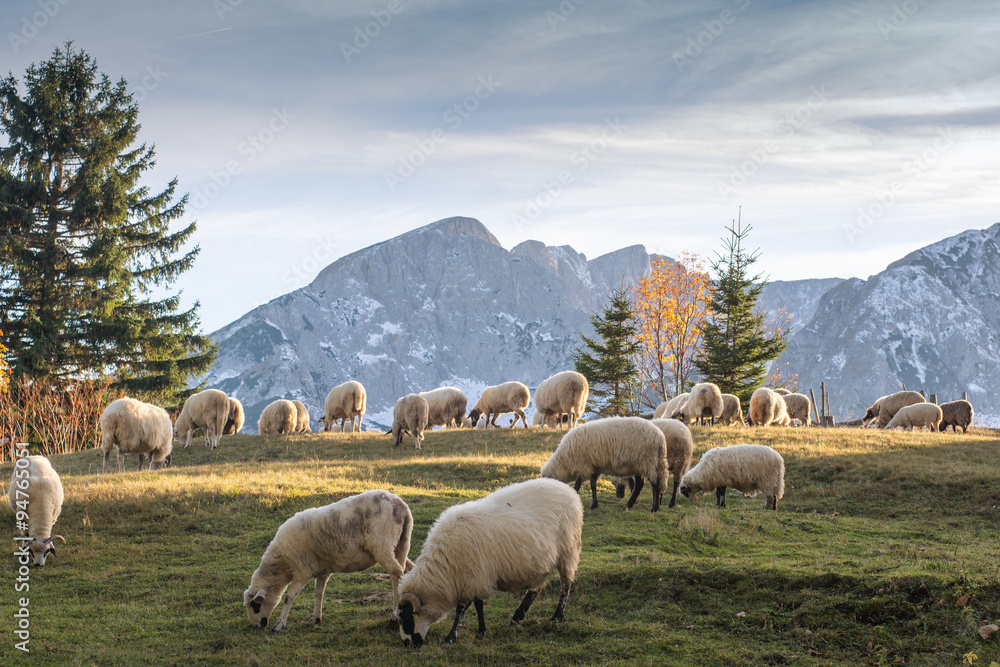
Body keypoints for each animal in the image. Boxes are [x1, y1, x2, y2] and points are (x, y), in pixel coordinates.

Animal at [244, 490, 414, 634]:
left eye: (255, 605)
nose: (256, 626)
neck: (282, 563)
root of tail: (399, 505)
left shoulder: (302, 572)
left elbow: (289, 597)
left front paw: (279, 625)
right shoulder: (322, 570)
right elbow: (319, 592)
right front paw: (315, 618)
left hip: (382, 545)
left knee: (396, 573)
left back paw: (394, 616)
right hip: (401, 544)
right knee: (406, 570)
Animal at [395, 477, 582, 647]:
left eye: (407, 617)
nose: (407, 643)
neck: (444, 567)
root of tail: (567, 490)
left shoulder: (472, 577)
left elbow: (461, 609)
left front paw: (450, 637)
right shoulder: (477, 577)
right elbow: (478, 605)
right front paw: (481, 631)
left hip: (568, 550)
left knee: (566, 584)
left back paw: (557, 616)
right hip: (541, 564)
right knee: (535, 589)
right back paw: (516, 618)